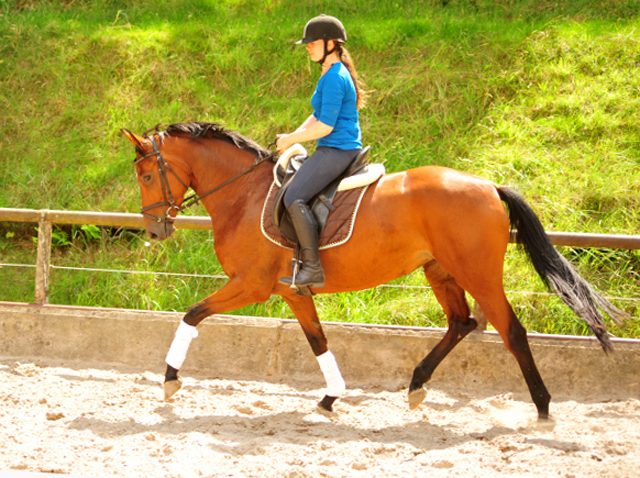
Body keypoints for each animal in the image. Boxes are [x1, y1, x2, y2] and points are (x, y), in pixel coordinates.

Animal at [120, 122, 624, 418]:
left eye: (145, 176)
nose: (155, 230)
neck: (243, 194)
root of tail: (487, 185)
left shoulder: (252, 285)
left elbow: (191, 314)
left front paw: (170, 380)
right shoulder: (292, 292)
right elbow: (318, 341)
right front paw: (331, 396)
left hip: (477, 273)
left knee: (510, 330)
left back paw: (542, 406)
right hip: (439, 270)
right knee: (461, 323)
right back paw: (417, 385)